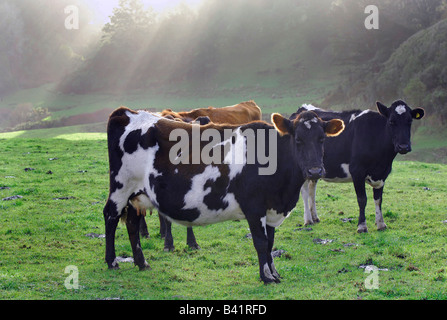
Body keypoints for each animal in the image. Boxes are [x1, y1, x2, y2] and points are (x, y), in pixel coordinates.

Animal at [290, 100, 428, 232]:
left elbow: (378, 199)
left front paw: (381, 224)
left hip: (315, 169)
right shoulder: (357, 172)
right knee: (305, 191)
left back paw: (315, 217)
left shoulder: (383, 174)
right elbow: (362, 200)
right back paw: (308, 220)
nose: (403, 147)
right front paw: (362, 226)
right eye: (391, 121)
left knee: (312, 189)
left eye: (409, 121)